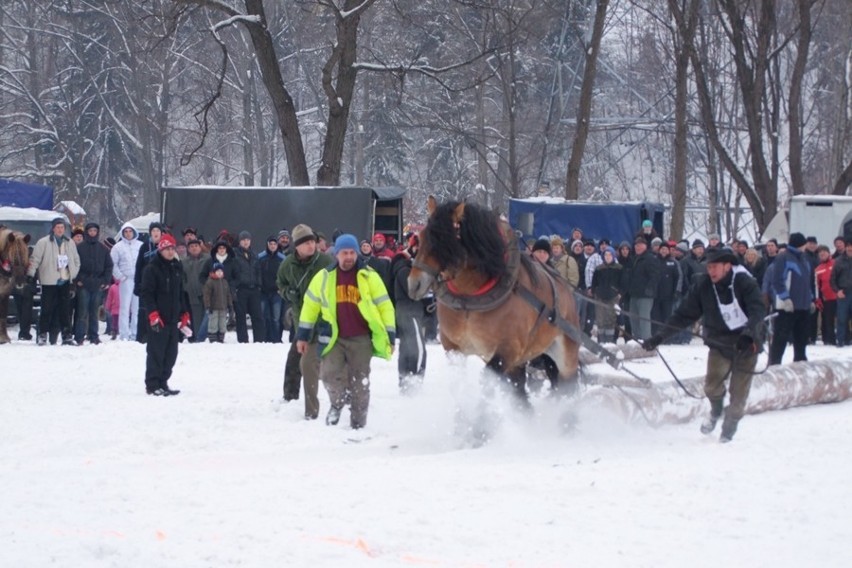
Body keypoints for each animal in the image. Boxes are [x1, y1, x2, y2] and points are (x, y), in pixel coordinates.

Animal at [404, 197, 580, 402]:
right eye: (422, 236)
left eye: (443, 241)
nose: (414, 284)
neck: (469, 299)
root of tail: (568, 292)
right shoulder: (453, 347)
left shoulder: (508, 350)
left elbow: (486, 382)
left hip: (565, 355)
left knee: (568, 386)